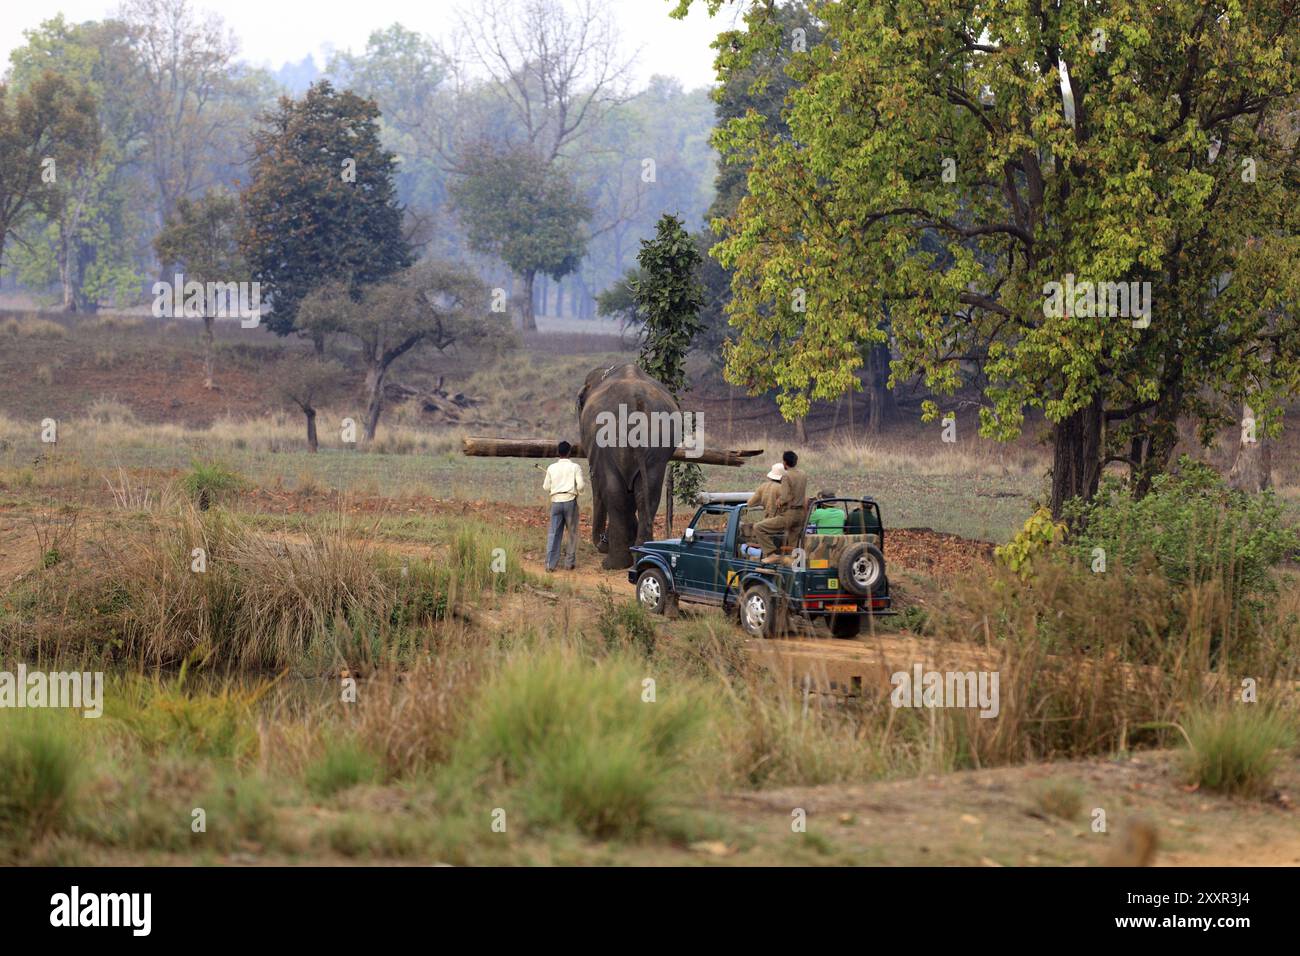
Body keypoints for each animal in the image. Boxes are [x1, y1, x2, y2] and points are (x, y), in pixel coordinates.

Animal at [577, 364, 678, 570]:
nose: (602, 541)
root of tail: (636, 400)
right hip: (658, 446)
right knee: (647, 493)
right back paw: (641, 555)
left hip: (607, 441)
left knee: (613, 491)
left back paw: (613, 564)